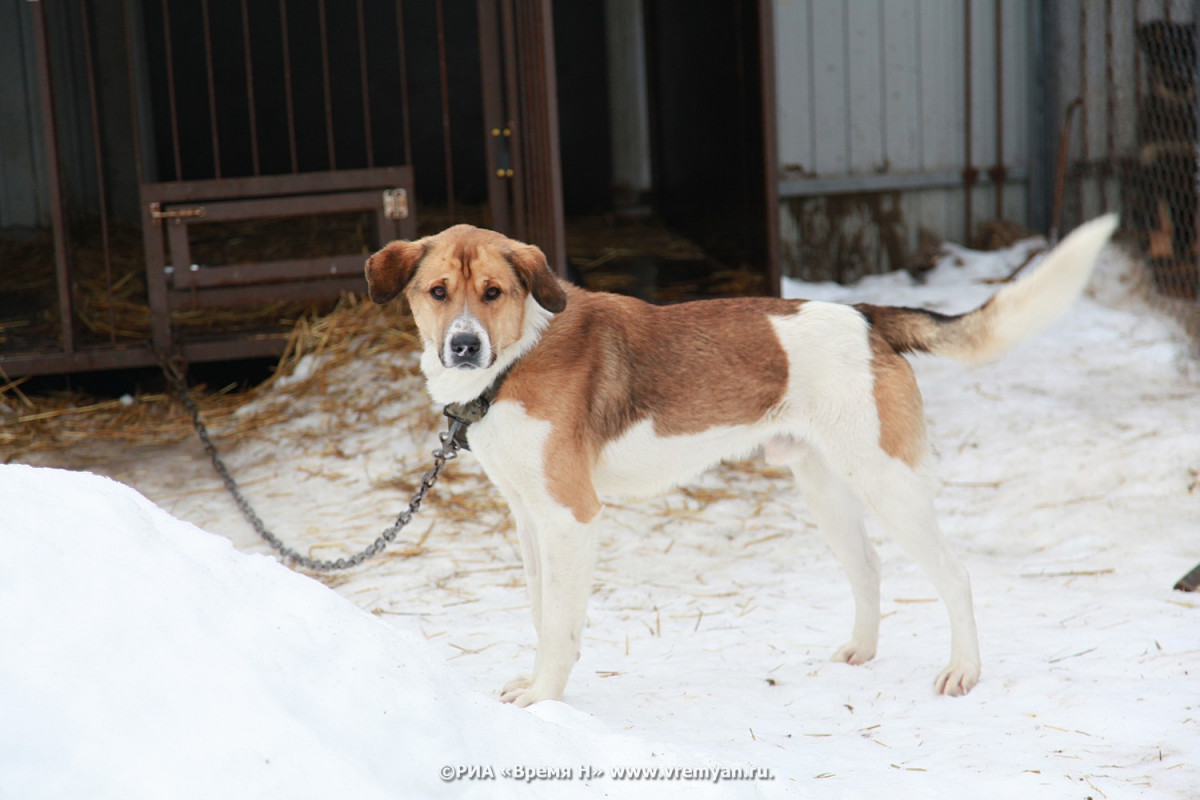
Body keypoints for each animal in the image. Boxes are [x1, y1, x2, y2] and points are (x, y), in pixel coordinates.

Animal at [360, 214, 1118, 705]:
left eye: (494, 293)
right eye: (437, 293)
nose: (464, 347)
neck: (517, 356)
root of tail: (867, 316)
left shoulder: (572, 516)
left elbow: (560, 623)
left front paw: (546, 696)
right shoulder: (529, 518)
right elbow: (544, 614)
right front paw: (540, 679)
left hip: (889, 483)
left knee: (954, 577)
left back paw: (964, 670)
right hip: (826, 486)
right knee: (869, 569)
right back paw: (861, 652)